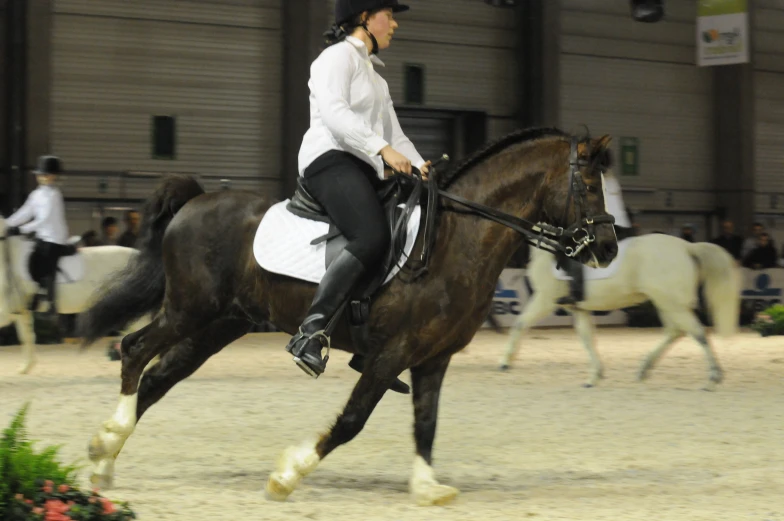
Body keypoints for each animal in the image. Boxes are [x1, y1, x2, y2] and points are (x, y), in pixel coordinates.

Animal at [79, 126, 620, 504]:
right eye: (590, 185)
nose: (609, 249)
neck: (455, 239)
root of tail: (195, 200)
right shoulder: (390, 353)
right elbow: (351, 422)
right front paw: (287, 474)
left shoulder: (433, 358)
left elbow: (427, 423)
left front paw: (427, 486)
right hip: (190, 309)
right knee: (134, 350)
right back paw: (107, 440)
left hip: (219, 326)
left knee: (157, 379)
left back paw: (105, 461)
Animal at [500, 234, 740, 388]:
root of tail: (687, 247)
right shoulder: (579, 308)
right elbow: (587, 338)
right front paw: (594, 377)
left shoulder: (544, 300)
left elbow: (519, 324)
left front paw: (505, 362)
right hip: (666, 303)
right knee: (676, 332)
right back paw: (644, 370)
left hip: (672, 303)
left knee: (698, 333)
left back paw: (713, 378)